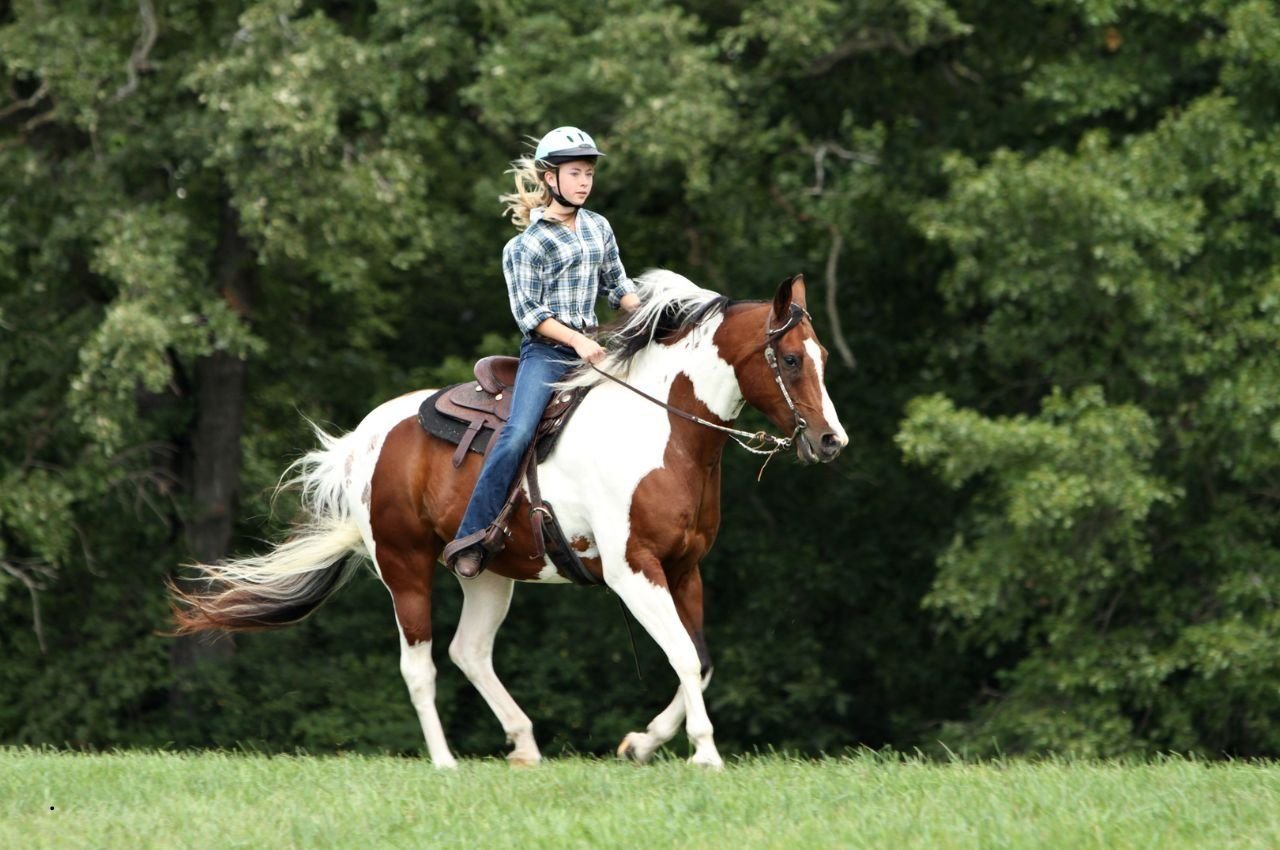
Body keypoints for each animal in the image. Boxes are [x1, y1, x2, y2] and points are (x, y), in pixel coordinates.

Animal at [169, 269, 848, 769]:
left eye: (820, 355)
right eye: (790, 359)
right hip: (404, 566)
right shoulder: (633, 571)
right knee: (420, 665)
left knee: (469, 650)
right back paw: (445, 762)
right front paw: (704, 754)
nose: (831, 441)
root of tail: (364, 441)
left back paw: (523, 744)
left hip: (488, 573)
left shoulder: (685, 568)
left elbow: (700, 662)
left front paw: (641, 744)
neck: (663, 430)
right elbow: (682, 654)